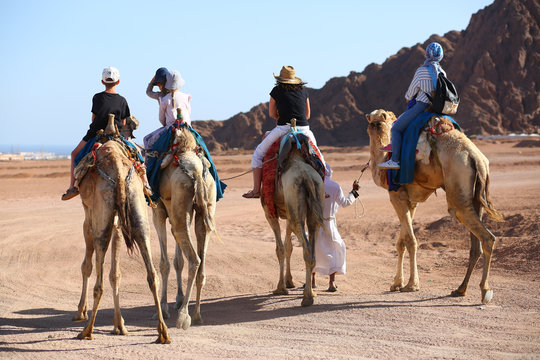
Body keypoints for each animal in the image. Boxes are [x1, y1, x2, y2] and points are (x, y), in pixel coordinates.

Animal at [71, 115, 169, 344]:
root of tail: (117, 167)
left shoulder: (90, 217)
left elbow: (87, 265)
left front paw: (81, 311)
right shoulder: (116, 220)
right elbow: (116, 273)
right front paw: (119, 324)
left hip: (102, 220)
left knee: (98, 281)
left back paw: (87, 331)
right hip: (138, 211)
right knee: (152, 274)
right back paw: (163, 332)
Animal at [151, 123, 216, 330]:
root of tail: (196, 172)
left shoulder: (159, 211)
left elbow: (164, 263)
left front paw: (163, 308)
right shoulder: (176, 213)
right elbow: (178, 261)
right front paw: (177, 299)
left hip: (180, 199)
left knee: (194, 259)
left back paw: (183, 316)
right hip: (204, 207)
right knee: (201, 264)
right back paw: (196, 315)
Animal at [260, 131, 324, 308]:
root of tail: (307, 177)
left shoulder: (269, 212)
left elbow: (280, 249)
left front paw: (280, 288)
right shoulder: (289, 212)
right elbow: (288, 247)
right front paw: (289, 282)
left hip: (294, 205)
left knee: (307, 248)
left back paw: (307, 297)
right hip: (313, 202)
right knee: (312, 247)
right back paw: (311, 292)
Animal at [364, 109, 504, 304]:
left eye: (379, 118)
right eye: (373, 120)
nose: (376, 120)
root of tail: (476, 158)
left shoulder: (396, 195)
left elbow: (410, 240)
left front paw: (411, 285)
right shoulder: (410, 200)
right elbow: (401, 242)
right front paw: (396, 284)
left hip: (458, 191)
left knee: (486, 235)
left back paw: (485, 290)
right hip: (476, 198)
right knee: (476, 245)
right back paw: (460, 289)